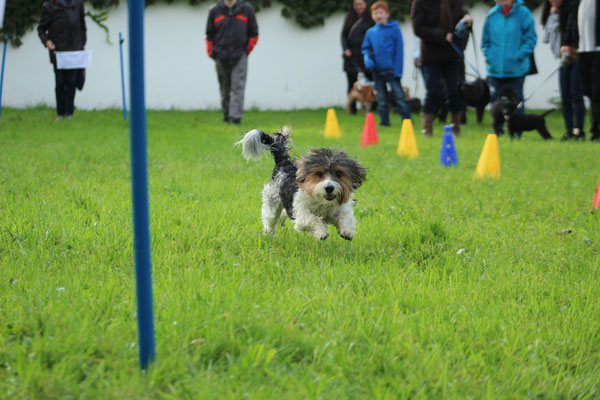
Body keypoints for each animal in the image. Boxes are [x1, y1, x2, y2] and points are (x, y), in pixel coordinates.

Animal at [237, 127, 368, 241]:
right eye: (319, 173)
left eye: (339, 173)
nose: (329, 188)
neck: (323, 203)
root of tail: (283, 163)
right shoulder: (300, 214)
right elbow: (313, 219)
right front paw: (322, 232)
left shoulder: (341, 208)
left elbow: (346, 217)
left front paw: (347, 231)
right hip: (272, 201)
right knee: (270, 220)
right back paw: (268, 235)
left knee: (283, 213)